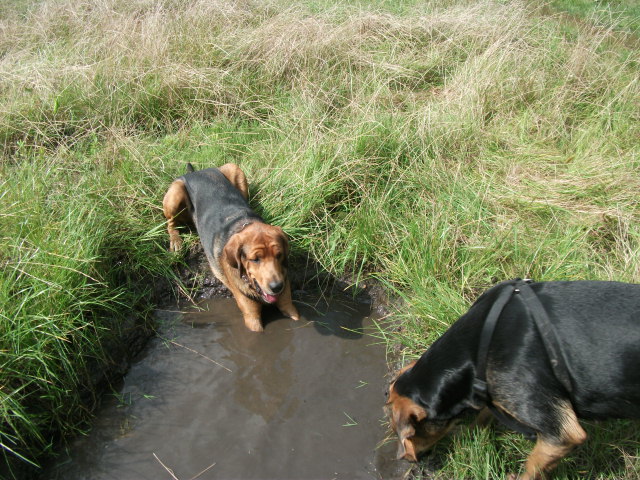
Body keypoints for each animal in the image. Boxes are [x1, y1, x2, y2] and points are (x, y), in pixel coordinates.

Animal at [161, 163, 298, 332]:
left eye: (279, 255)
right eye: (255, 259)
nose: (277, 287)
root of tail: (196, 172)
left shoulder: (289, 306)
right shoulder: (252, 317)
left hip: (234, 169)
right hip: (175, 193)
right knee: (170, 223)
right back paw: (175, 241)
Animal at [384, 280, 640, 478]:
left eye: (408, 432)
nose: (405, 460)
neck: (476, 348)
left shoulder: (561, 434)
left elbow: (532, 467)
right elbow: (485, 413)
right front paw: (471, 433)